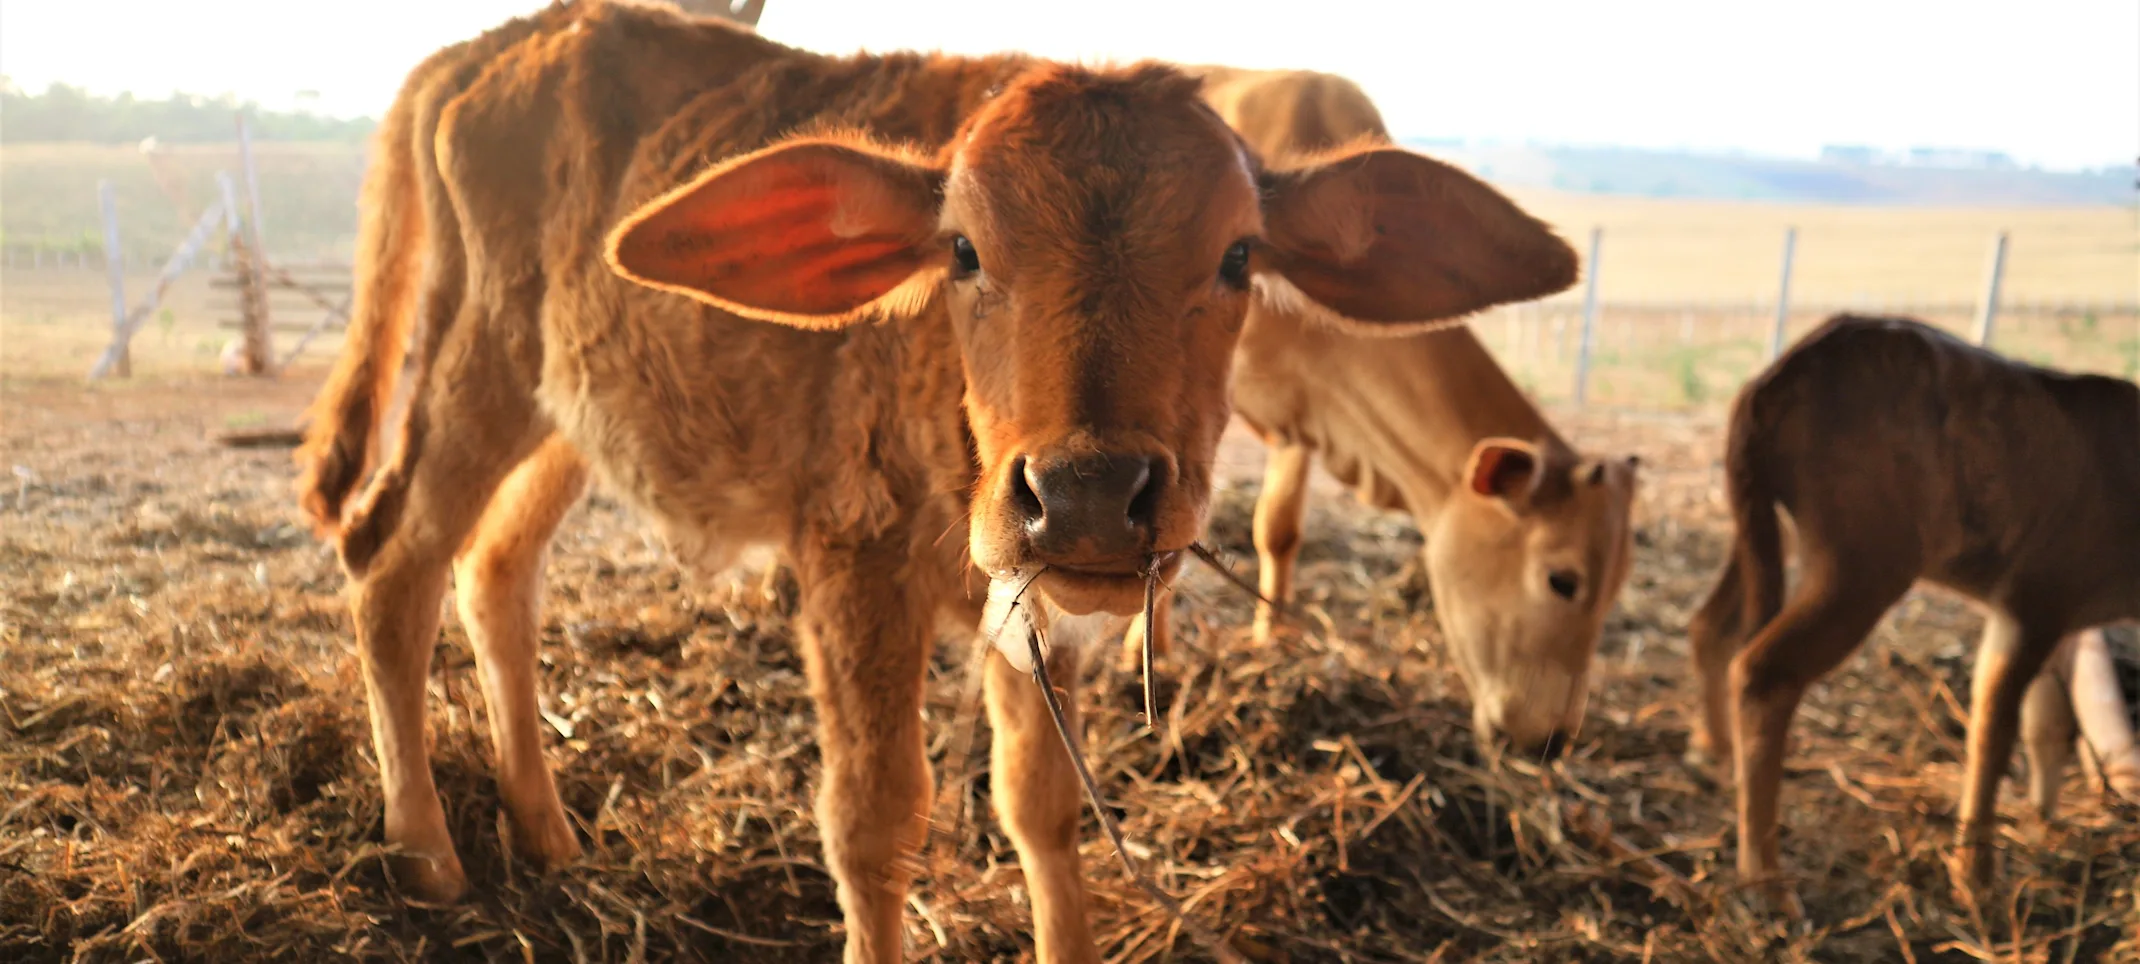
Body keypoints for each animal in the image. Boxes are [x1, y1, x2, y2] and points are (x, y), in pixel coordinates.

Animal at [294, 4, 1580, 961]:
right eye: (962, 249)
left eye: (1237, 255)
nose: (1087, 491)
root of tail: (486, 51)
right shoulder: (850, 563)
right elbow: (873, 820)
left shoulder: (1038, 612)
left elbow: (1041, 809)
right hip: (482, 362)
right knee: (392, 568)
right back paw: (429, 852)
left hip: (575, 408)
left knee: (495, 571)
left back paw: (548, 830)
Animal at [1122, 66, 1637, 756]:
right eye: (1562, 579)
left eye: (1618, 586)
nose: (1550, 741)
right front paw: (1144, 654)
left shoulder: (1305, 414)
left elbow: (1278, 528)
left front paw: (1272, 638)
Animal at [1686, 313, 2140, 907]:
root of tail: (1777, 376)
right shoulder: (2035, 598)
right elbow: (1994, 726)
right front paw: (1976, 878)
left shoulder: (2056, 618)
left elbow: (2044, 719)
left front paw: (2041, 819)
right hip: (1861, 560)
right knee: (1763, 671)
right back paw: (1765, 880)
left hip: (1762, 526)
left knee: (1710, 625)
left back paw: (1713, 753)